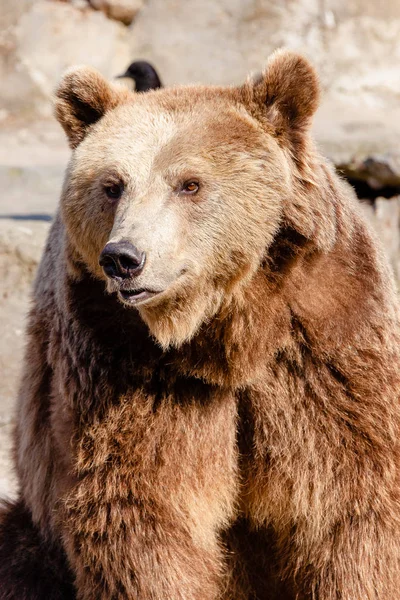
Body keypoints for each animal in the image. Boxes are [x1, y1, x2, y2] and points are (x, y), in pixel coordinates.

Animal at [0, 49, 400, 596]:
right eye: (112, 185)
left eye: (190, 184)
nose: (124, 258)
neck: (226, 331)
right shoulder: (123, 363)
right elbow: (142, 507)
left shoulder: (325, 338)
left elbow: (350, 499)